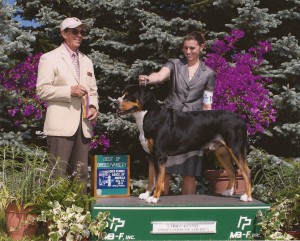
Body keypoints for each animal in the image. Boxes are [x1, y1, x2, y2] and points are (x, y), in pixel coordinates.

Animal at [116, 84, 252, 203]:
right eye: (122, 94)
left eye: (128, 96)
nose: (115, 102)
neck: (147, 115)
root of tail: (240, 119)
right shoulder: (150, 155)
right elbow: (151, 178)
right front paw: (146, 194)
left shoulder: (160, 155)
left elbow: (159, 179)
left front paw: (154, 198)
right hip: (222, 152)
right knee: (231, 171)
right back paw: (229, 192)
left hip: (236, 149)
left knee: (246, 171)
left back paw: (247, 196)